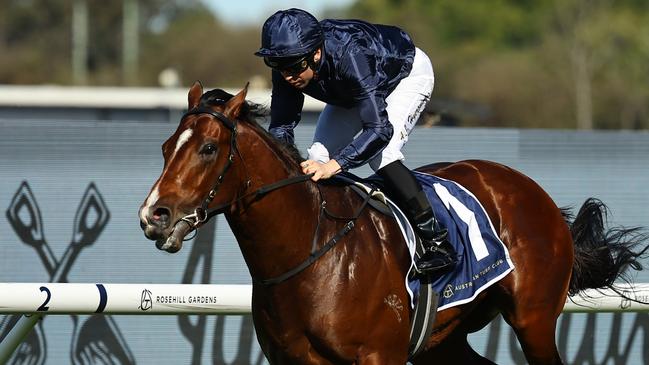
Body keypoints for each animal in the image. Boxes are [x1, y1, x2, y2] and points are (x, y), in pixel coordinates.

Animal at [139, 82, 644, 364]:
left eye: (208, 149)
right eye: (165, 147)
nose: (153, 216)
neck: (309, 252)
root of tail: (533, 192)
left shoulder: (379, 355)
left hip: (534, 320)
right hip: (444, 341)